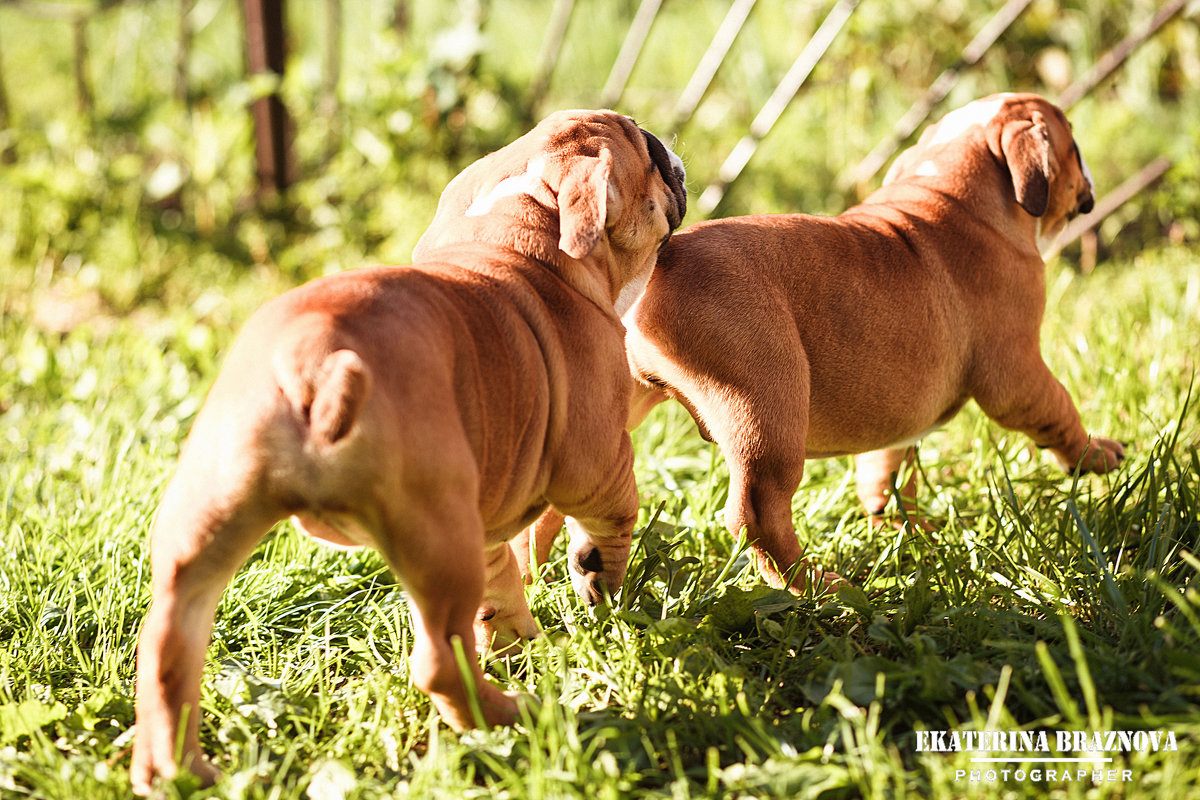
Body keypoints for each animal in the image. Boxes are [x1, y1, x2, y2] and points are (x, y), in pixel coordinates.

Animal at [131, 110, 686, 796]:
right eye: (647, 150)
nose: (671, 152)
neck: (523, 231)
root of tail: (311, 365)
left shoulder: (488, 518)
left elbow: (503, 582)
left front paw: (519, 639)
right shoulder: (600, 465)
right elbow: (609, 527)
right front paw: (599, 587)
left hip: (208, 516)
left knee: (168, 644)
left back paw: (177, 772)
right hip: (436, 534)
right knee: (438, 663)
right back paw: (513, 715)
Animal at [518, 92, 1123, 594]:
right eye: (1073, 147)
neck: (952, 191)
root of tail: (660, 262)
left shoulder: (899, 415)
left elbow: (886, 467)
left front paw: (902, 525)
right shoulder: (1017, 372)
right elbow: (1056, 408)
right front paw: (1094, 453)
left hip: (617, 405)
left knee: (560, 505)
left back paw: (538, 579)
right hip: (767, 408)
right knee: (756, 514)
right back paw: (815, 585)